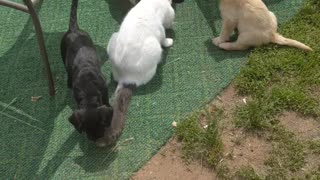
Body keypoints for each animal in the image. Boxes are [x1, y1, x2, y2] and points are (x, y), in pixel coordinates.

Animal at [60, 0, 113, 143]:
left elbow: (106, 102)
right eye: (85, 128)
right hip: (62, 52)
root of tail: (74, 29)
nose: (96, 138)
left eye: (101, 124)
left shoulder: (104, 89)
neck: (88, 89)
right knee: (67, 69)